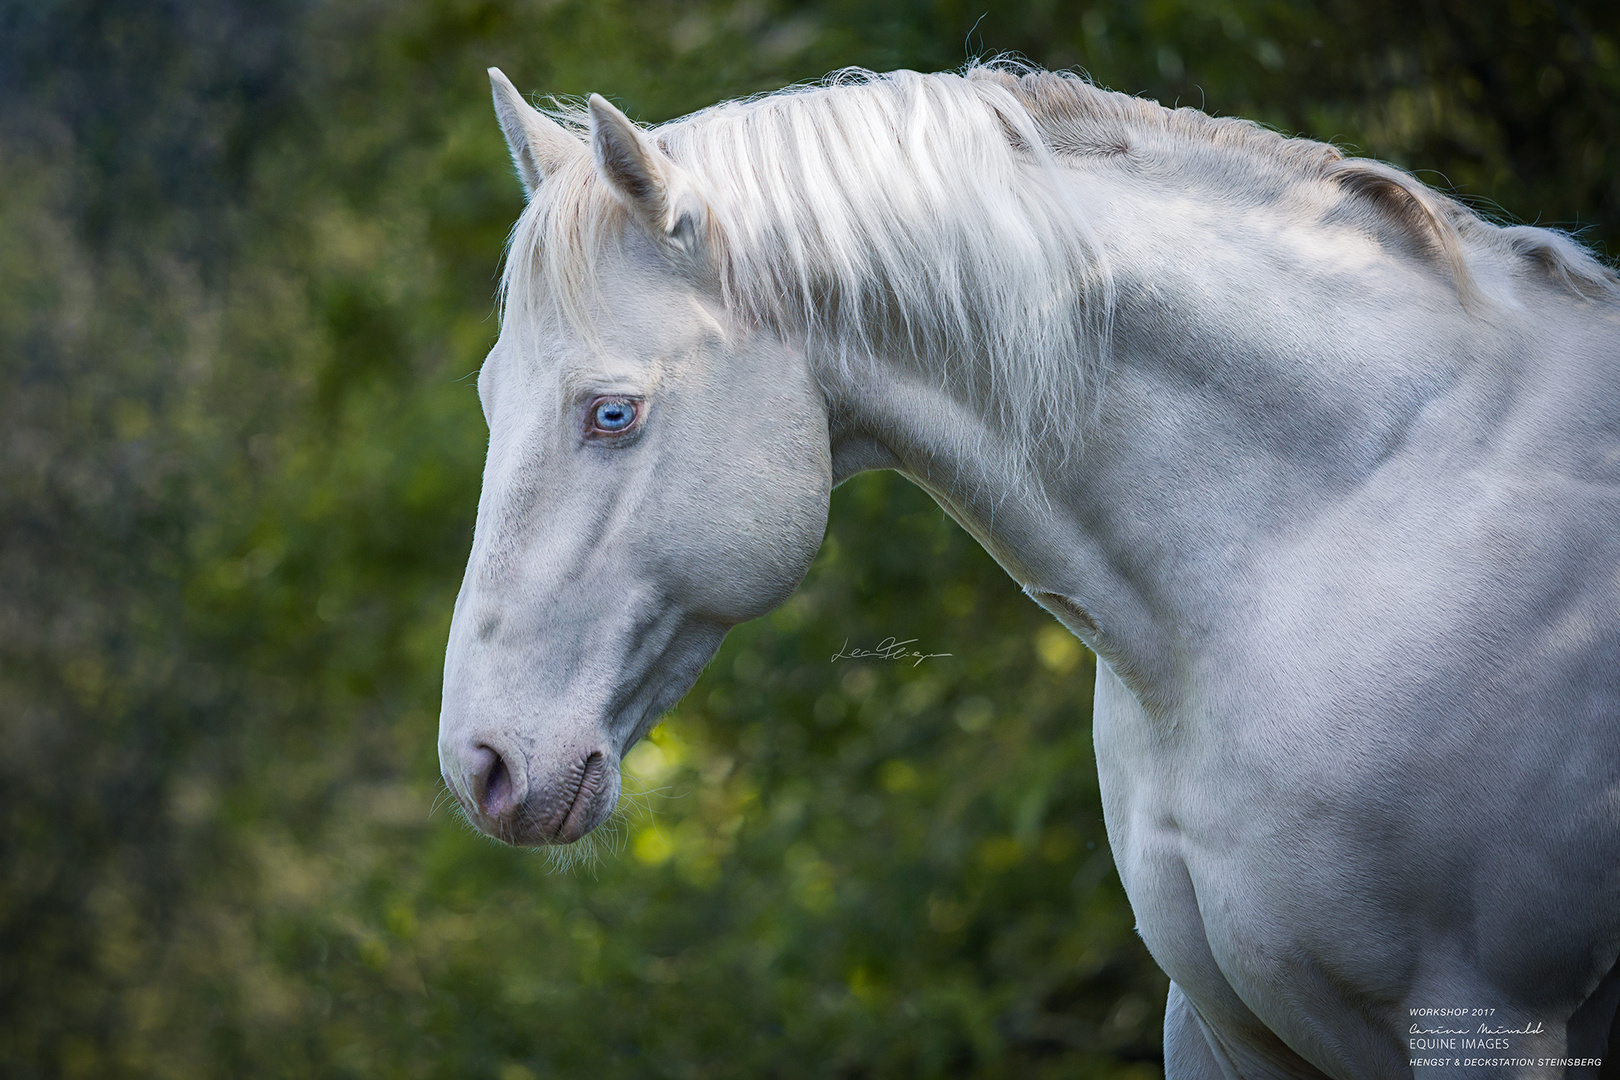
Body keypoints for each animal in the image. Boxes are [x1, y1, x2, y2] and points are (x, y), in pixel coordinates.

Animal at [440, 63, 1620, 1075]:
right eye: (492, 395)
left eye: (612, 413)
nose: (479, 765)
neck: (1331, 517)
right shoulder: (1223, 1031)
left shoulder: (1489, 1019)